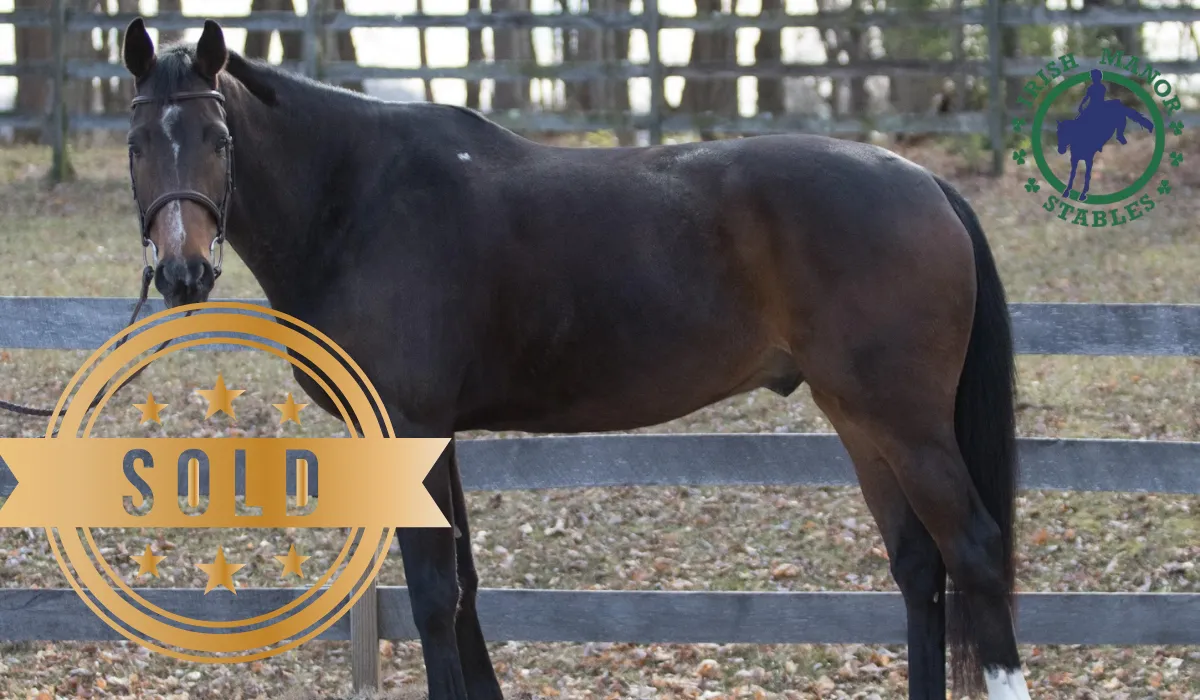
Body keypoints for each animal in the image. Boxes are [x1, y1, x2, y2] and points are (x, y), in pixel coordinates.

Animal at [119, 18, 1031, 700]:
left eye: (218, 137)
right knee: (919, 565)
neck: (360, 199)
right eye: (135, 143)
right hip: (859, 418)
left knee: (975, 552)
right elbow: (464, 589)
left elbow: (434, 594)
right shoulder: (438, 436)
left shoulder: (411, 428)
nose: (182, 273)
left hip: (905, 423)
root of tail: (922, 180)